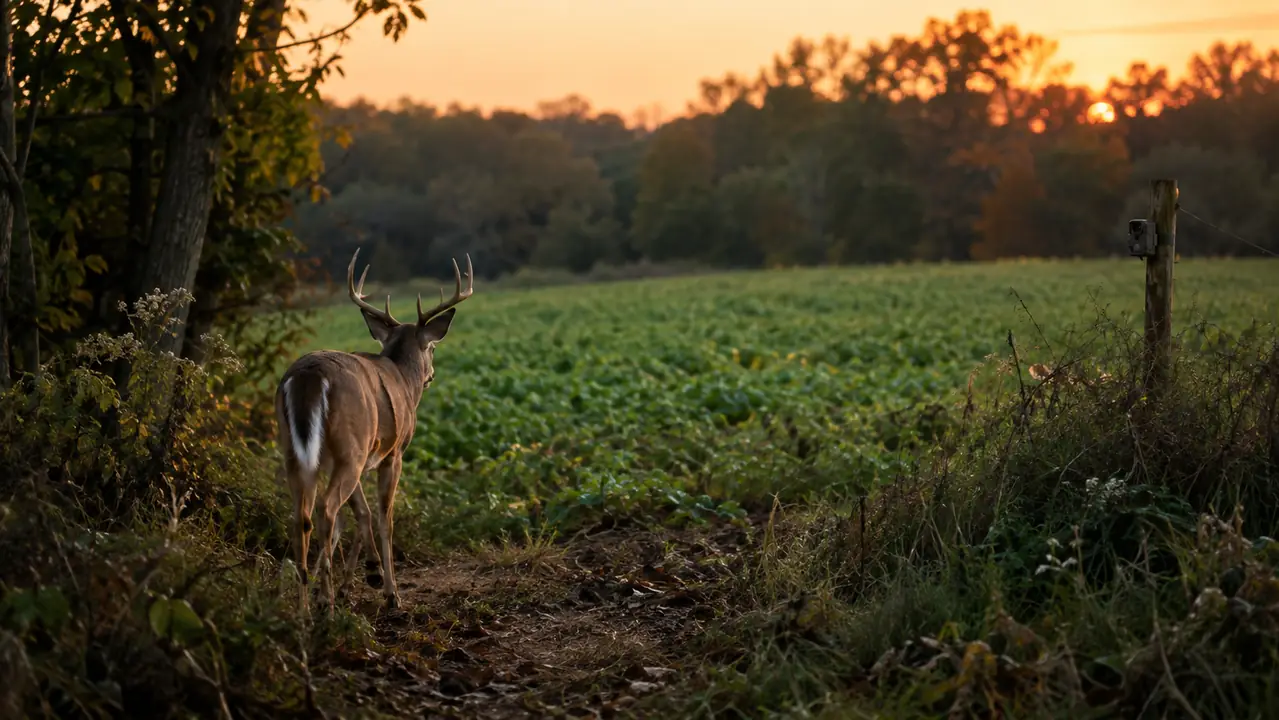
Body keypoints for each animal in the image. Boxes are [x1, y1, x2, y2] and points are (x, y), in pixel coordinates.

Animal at [275, 248, 474, 613]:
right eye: (432, 347)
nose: (431, 375)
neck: (404, 378)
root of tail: (309, 376)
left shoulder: (359, 455)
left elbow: (361, 512)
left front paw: (364, 575)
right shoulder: (392, 453)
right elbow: (383, 517)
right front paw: (390, 591)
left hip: (298, 450)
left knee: (303, 516)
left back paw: (305, 607)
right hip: (350, 447)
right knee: (326, 510)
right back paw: (325, 603)